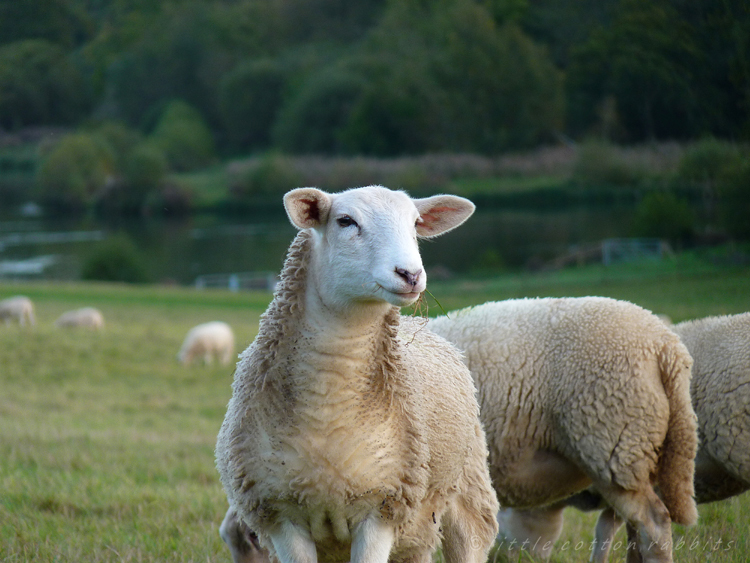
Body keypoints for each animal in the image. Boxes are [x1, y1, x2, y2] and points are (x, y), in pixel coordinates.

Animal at [214, 186, 502, 563]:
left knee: (469, 539)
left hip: (466, 491)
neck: (329, 405)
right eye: (345, 221)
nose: (411, 275)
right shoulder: (280, 513)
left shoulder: (382, 508)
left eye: (416, 223)